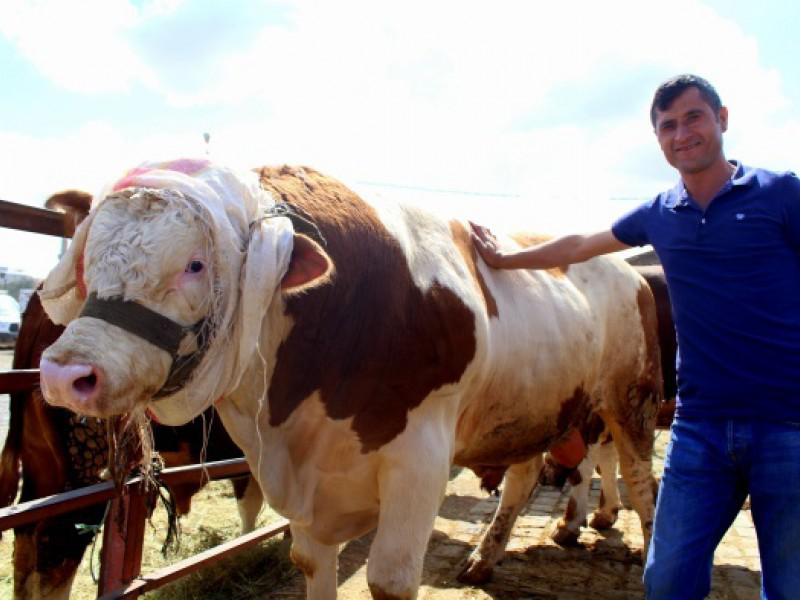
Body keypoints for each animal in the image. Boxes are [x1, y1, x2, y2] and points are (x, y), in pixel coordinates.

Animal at [37, 159, 660, 600]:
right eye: (88, 258)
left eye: (196, 265)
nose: (67, 373)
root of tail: (629, 270)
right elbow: (313, 563)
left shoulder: (420, 461)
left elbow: (389, 579)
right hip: (535, 405)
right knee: (525, 475)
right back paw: (486, 556)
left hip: (632, 397)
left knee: (640, 478)